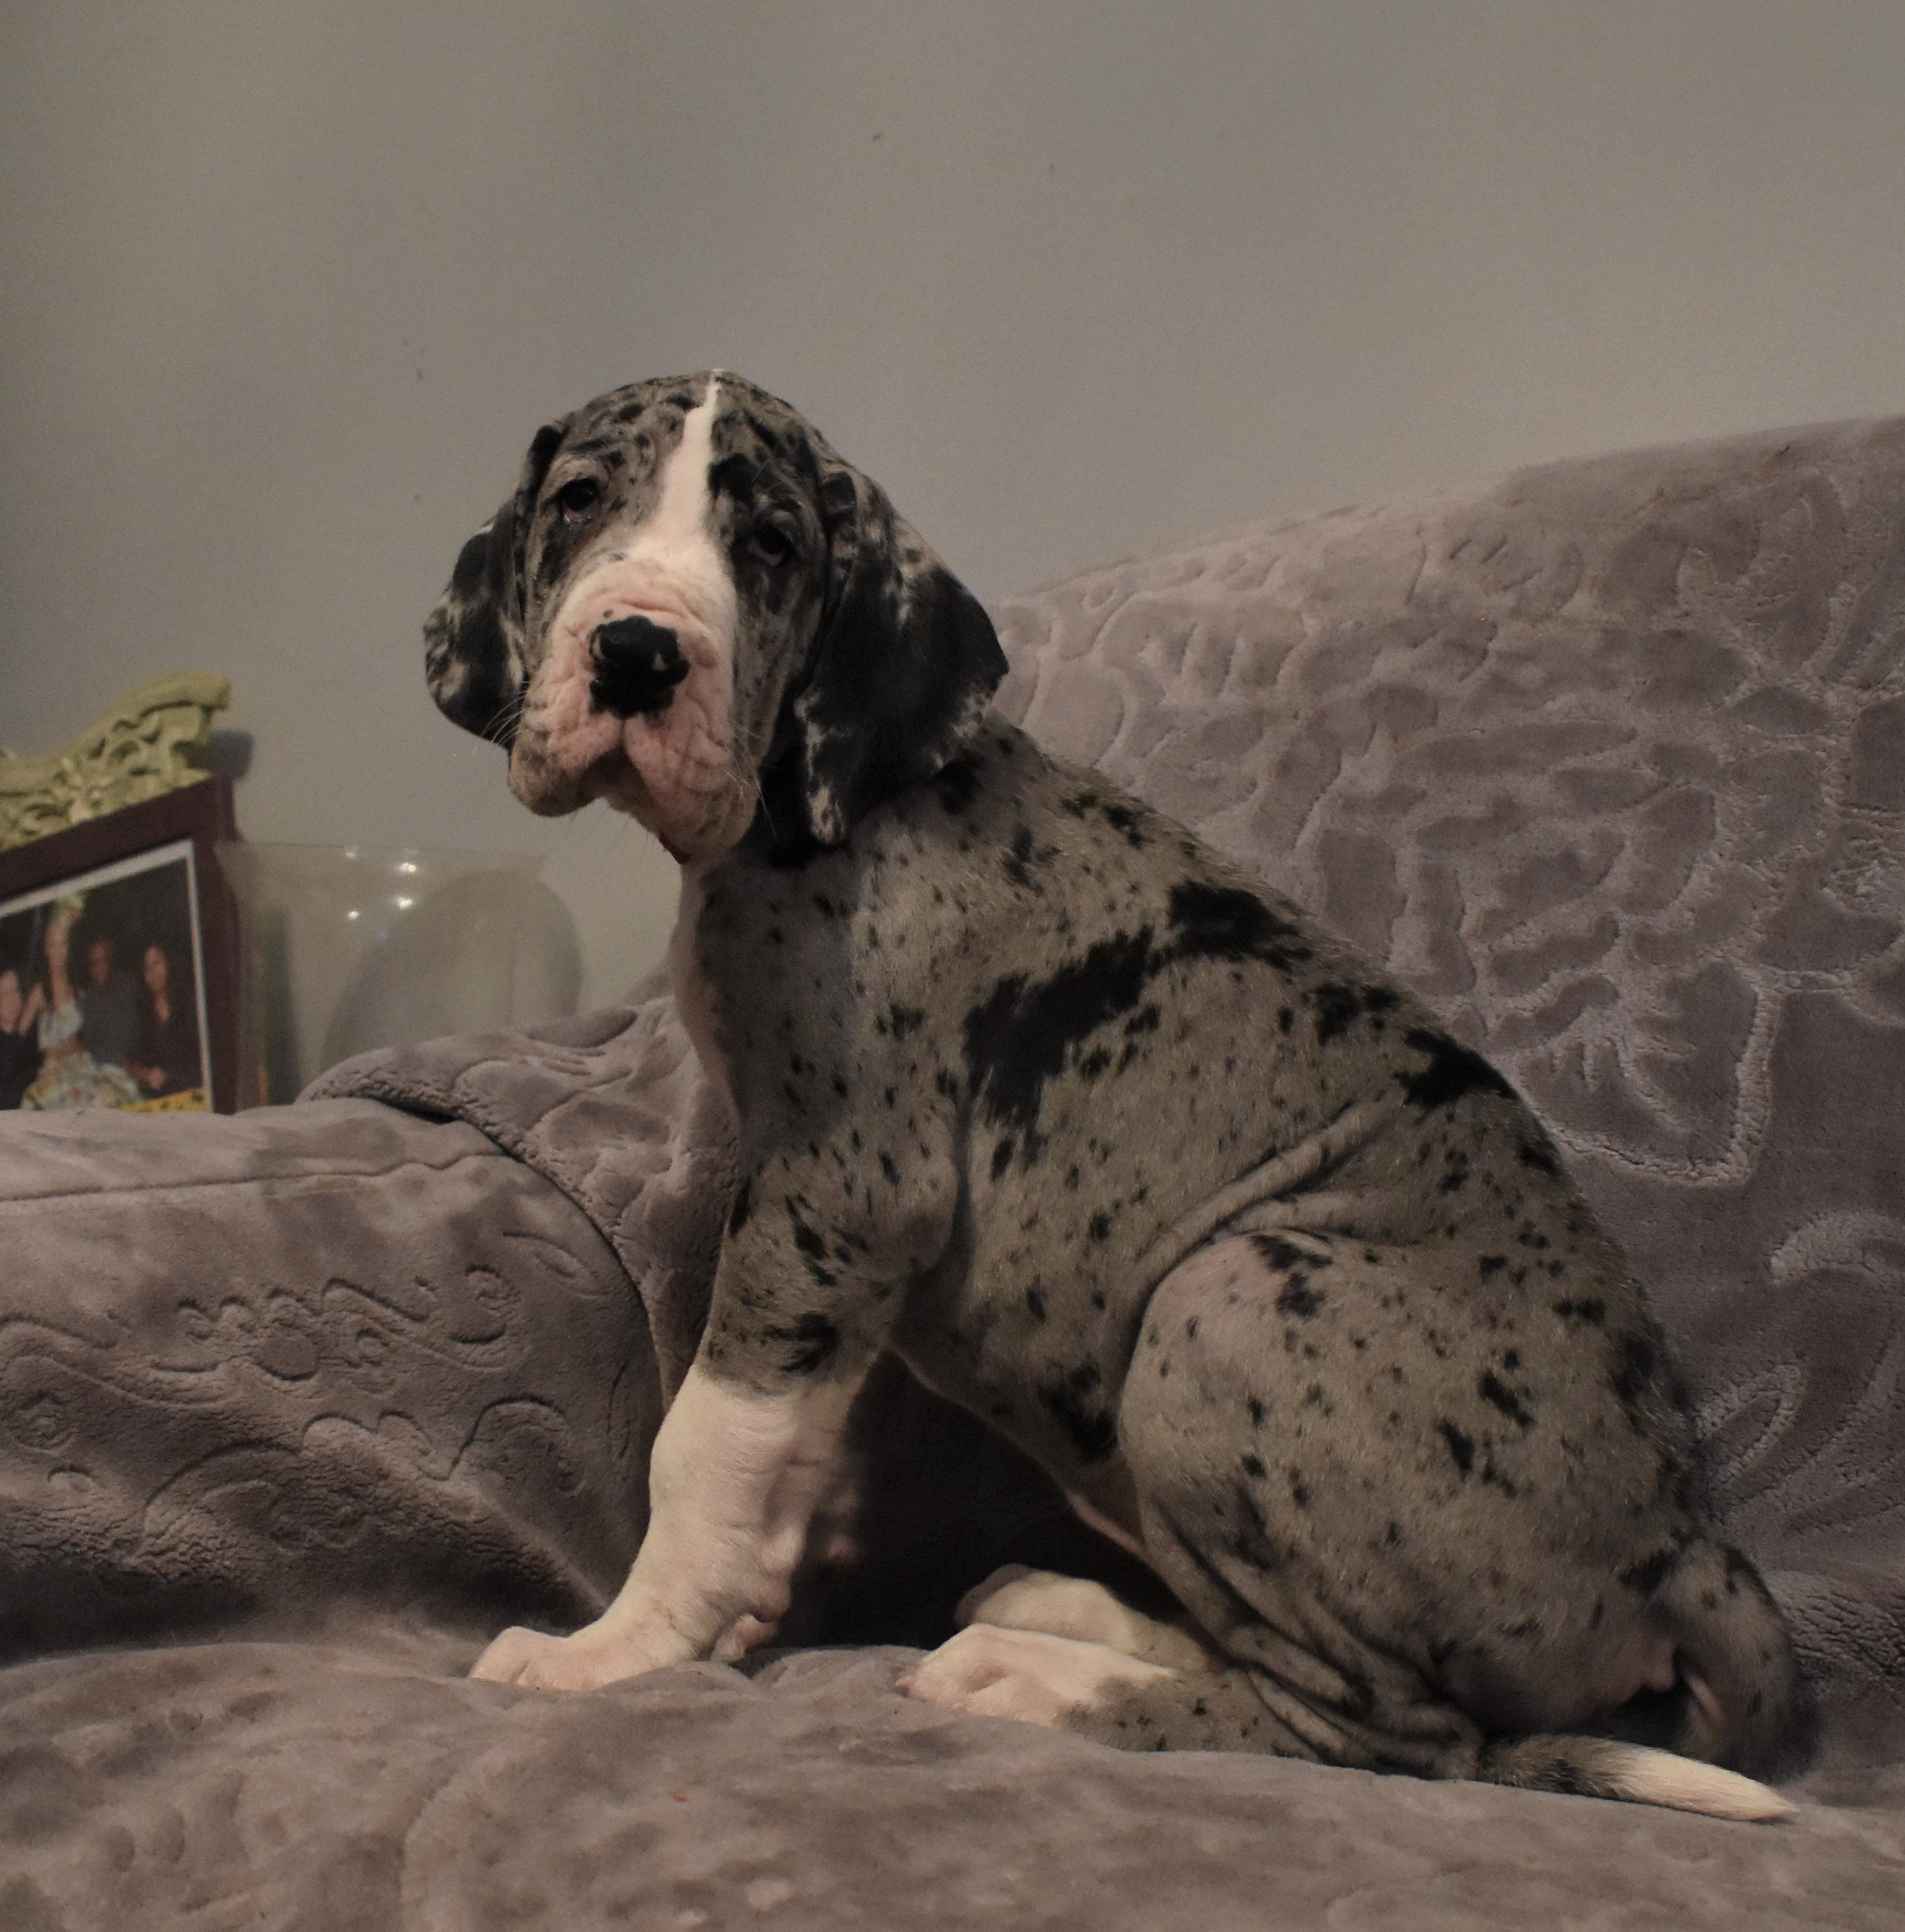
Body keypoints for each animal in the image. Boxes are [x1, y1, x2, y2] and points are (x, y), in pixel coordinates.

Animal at [423, 372, 1809, 1820]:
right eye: (579, 501)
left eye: (771, 546)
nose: (637, 653)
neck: (841, 802)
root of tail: (1687, 1547)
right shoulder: (833, 1253)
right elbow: (783, 1438)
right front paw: (732, 1606)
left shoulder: (838, 1187)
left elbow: (702, 1441)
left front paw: (617, 1649)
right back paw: (1062, 1613)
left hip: (1221, 1298)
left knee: (1375, 1730)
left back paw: (1033, 1681)